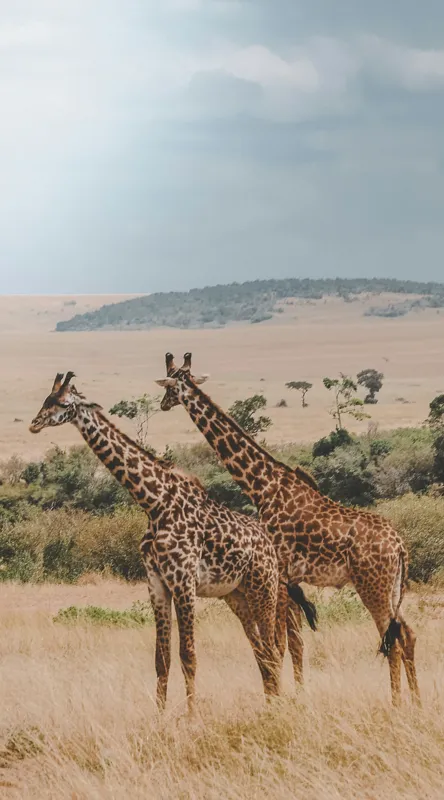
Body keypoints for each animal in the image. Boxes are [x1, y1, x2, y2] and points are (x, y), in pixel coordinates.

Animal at [29, 371, 284, 712]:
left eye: (63, 402)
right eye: (47, 398)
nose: (34, 424)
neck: (154, 502)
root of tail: (270, 546)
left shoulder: (184, 581)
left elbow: (188, 655)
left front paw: (191, 716)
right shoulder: (157, 584)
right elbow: (161, 659)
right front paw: (160, 716)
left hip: (263, 588)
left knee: (273, 650)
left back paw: (279, 707)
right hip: (236, 595)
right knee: (261, 651)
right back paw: (270, 706)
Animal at [156, 353, 420, 706]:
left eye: (170, 385)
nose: (162, 405)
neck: (262, 486)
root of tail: (401, 547)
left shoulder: (278, 573)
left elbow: (279, 644)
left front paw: (281, 699)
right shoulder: (290, 579)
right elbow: (294, 642)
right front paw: (297, 695)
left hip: (372, 587)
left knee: (390, 641)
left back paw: (395, 704)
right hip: (392, 588)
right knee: (407, 634)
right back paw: (416, 702)